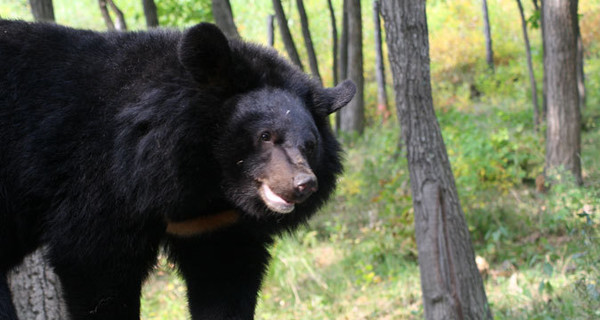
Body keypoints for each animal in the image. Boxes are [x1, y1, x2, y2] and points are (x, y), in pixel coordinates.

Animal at [0, 20, 354, 320]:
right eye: (266, 136)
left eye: (310, 145)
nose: (303, 183)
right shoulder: (97, 181)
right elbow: (94, 263)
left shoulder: (211, 221)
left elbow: (223, 274)